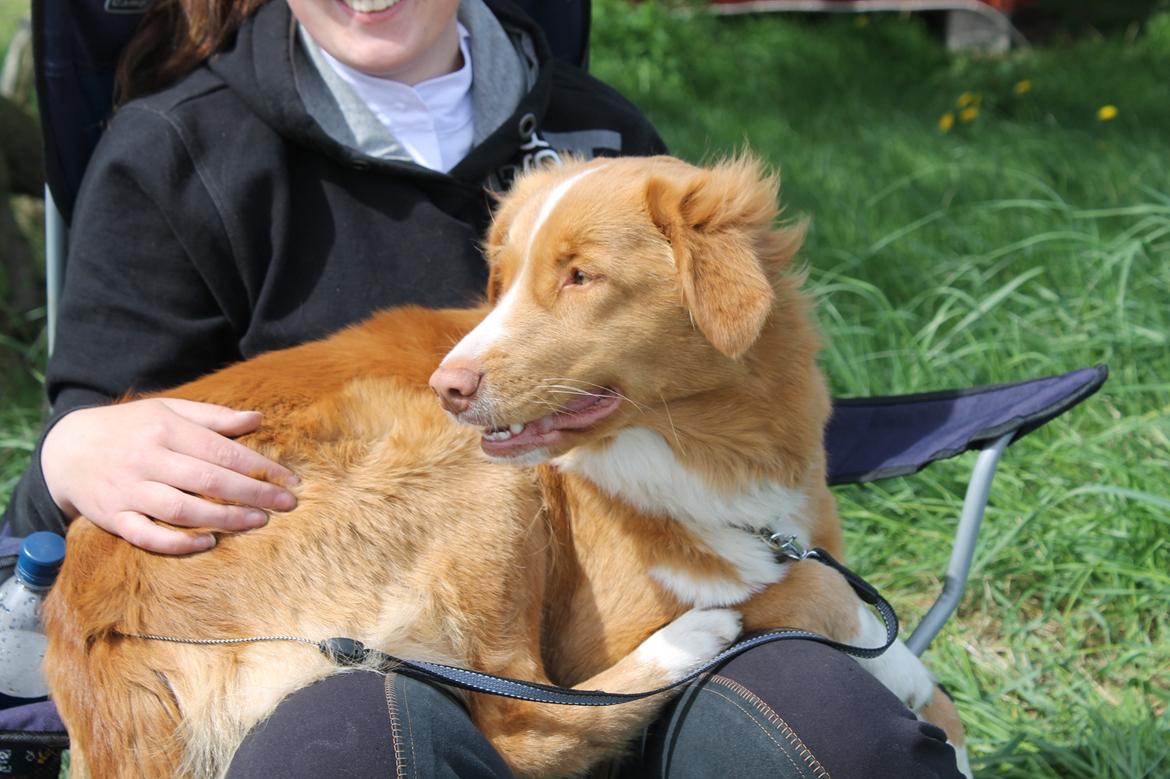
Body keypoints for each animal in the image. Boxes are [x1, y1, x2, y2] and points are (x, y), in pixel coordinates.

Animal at [43, 153, 968, 776]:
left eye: (580, 275)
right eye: (505, 277)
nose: (448, 383)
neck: (706, 445)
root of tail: (96, 640)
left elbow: (826, 581)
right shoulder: (604, 625)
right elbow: (812, 595)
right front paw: (911, 681)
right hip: (470, 486)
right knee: (526, 723)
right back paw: (692, 641)